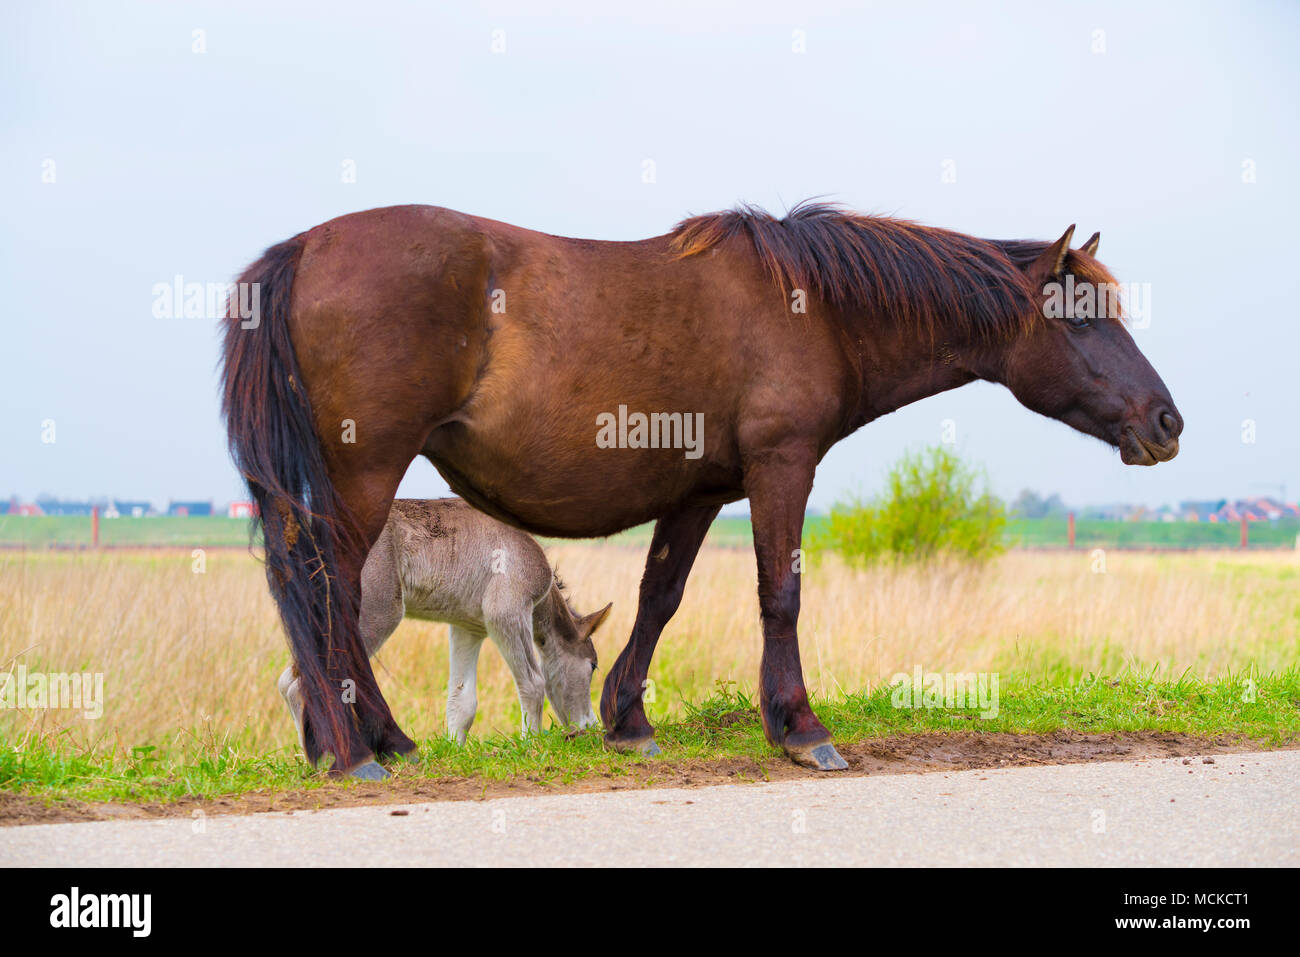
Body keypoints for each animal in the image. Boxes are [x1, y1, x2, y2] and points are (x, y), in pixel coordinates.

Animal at [276, 496, 611, 759]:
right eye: (593, 665)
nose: (590, 726)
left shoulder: (468, 627)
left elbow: (461, 700)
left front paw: (454, 751)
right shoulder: (505, 611)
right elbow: (532, 682)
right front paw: (532, 745)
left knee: (287, 680)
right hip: (374, 613)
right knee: (303, 683)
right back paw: (326, 759)